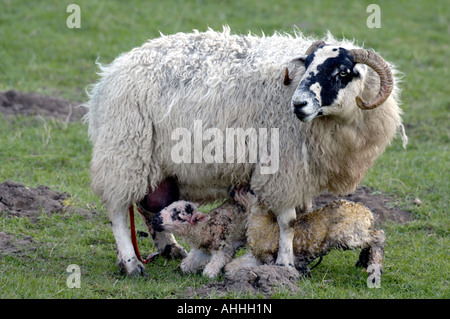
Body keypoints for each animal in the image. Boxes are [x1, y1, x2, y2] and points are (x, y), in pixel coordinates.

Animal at [225, 190, 384, 280]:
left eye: (250, 191)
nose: (232, 192)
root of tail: (367, 213)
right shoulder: (258, 257)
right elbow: (232, 266)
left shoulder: (268, 257)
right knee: (371, 239)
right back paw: (364, 260)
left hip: (346, 234)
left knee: (378, 236)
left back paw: (375, 267)